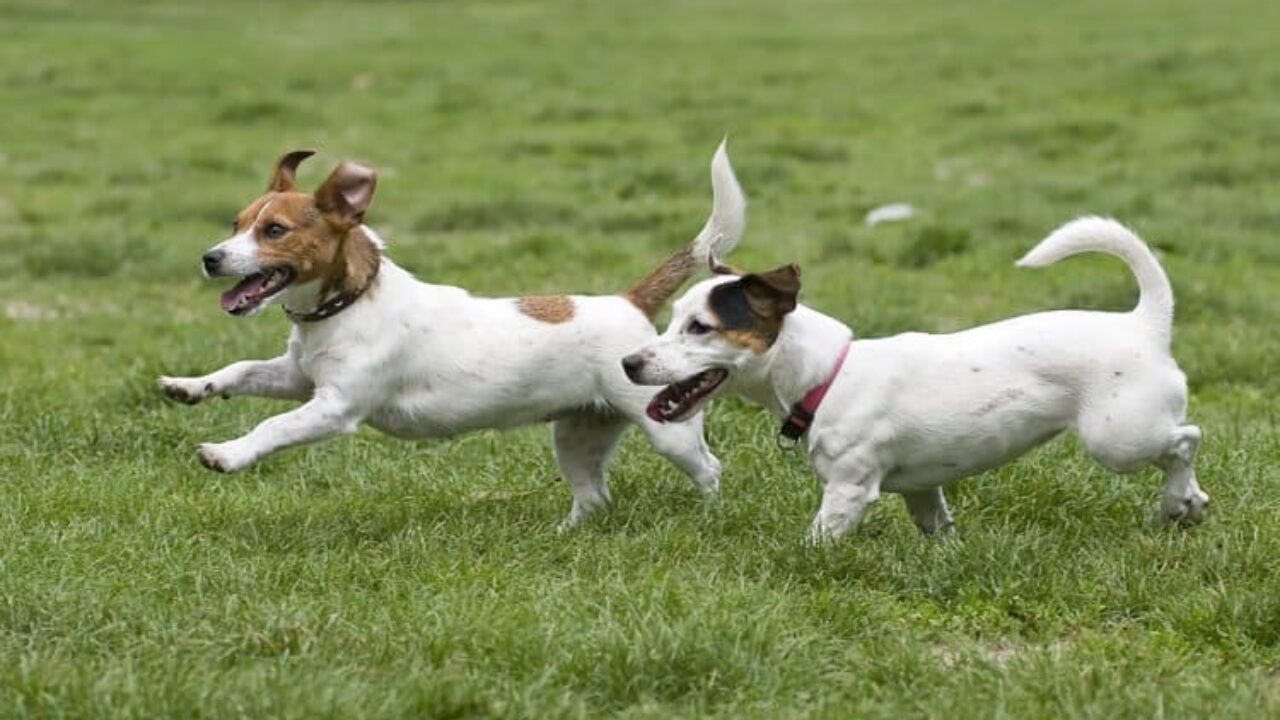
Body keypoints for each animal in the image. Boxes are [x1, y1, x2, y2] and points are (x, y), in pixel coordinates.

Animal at [157, 142, 747, 525]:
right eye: (236, 224)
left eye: (274, 230)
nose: (210, 258)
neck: (351, 303)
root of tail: (628, 300)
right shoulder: (297, 377)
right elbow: (241, 371)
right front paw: (189, 386)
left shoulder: (334, 407)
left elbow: (273, 427)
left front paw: (227, 454)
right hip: (578, 435)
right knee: (594, 497)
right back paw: (565, 535)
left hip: (668, 430)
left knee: (711, 469)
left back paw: (708, 517)